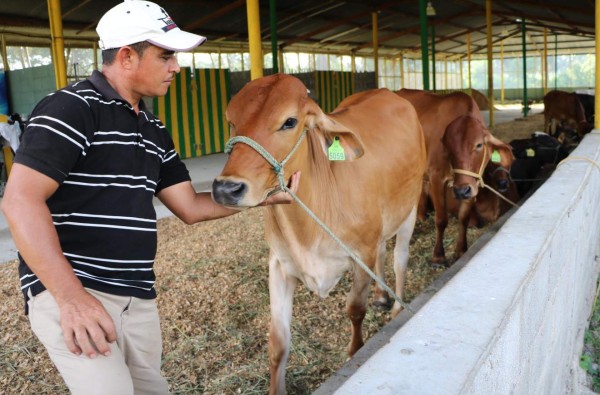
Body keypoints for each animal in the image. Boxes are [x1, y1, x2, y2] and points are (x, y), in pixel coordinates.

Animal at [211, 73, 426, 392]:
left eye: (289, 121)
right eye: (231, 121)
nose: (226, 189)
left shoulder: (360, 254)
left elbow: (354, 309)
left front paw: (354, 350)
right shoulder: (279, 264)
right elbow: (278, 341)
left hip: (409, 208)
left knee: (400, 258)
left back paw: (397, 308)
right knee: (384, 251)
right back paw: (381, 295)